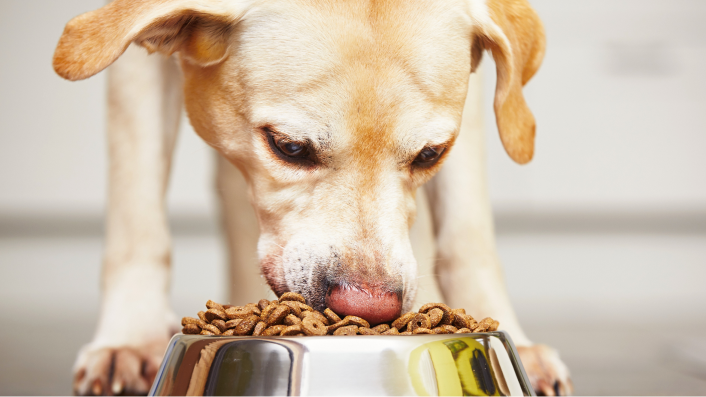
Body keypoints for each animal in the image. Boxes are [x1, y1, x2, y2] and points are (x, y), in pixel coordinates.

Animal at [55, 0, 572, 396]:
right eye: (288, 147)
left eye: (430, 154)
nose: (369, 307)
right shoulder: (133, 69)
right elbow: (137, 212)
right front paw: (131, 339)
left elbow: (469, 232)